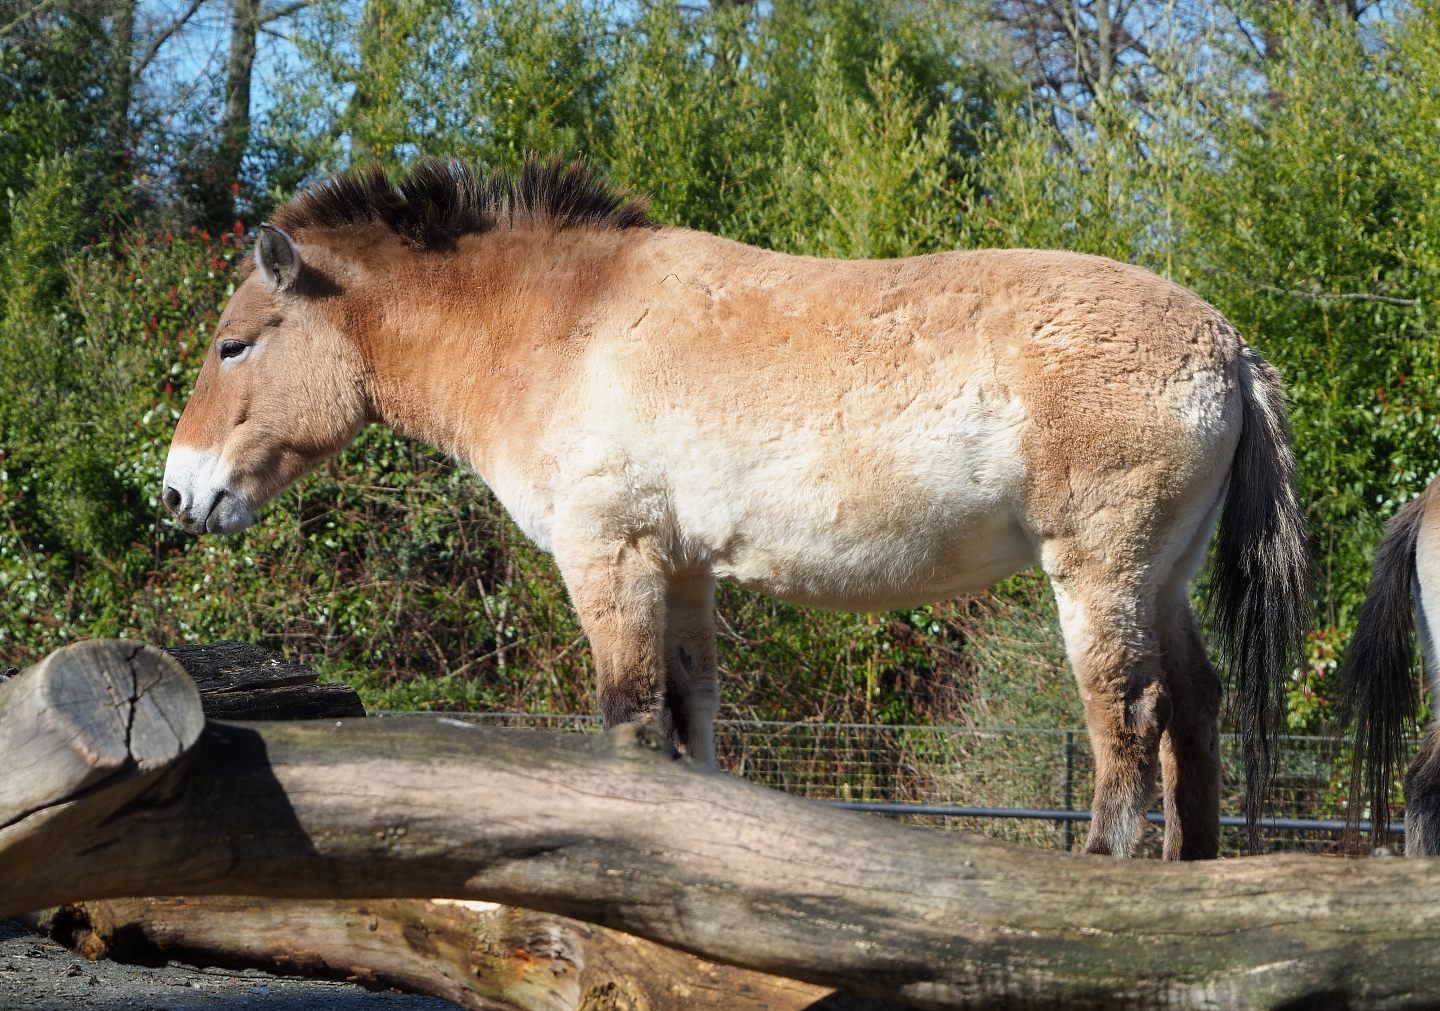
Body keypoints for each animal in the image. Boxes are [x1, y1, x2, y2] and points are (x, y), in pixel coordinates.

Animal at [161, 157, 1308, 859]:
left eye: (234, 343)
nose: (180, 490)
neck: (558, 324)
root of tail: (1229, 349)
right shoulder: (679, 569)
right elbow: (689, 719)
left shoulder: (611, 558)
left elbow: (630, 719)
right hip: (1161, 579)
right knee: (1194, 709)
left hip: (1100, 573)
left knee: (1130, 715)